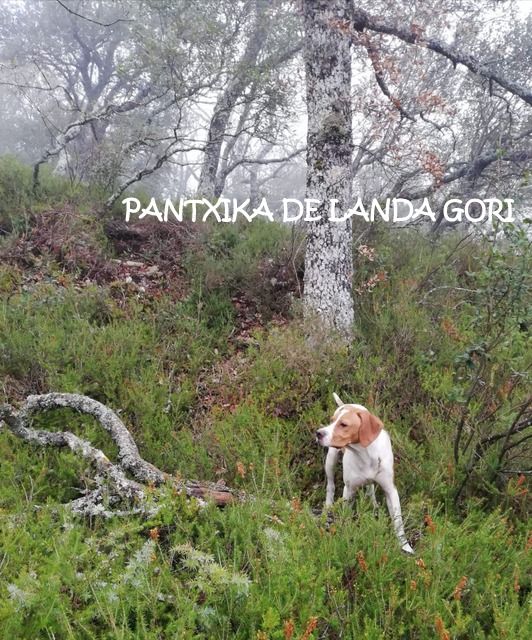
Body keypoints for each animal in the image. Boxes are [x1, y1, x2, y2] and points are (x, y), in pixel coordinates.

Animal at [314, 392, 414, 552]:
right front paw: (346, 536)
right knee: (330, 486)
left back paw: (373, 504)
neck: (365, 454)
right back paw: (328, 507)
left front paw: (405, 546)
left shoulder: (391, 490)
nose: (318, 433)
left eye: (343, 424)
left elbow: (398, 522)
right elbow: (346, 517)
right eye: (331, 421)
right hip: (330, 460)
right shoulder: (349, 491)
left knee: (370, 487)